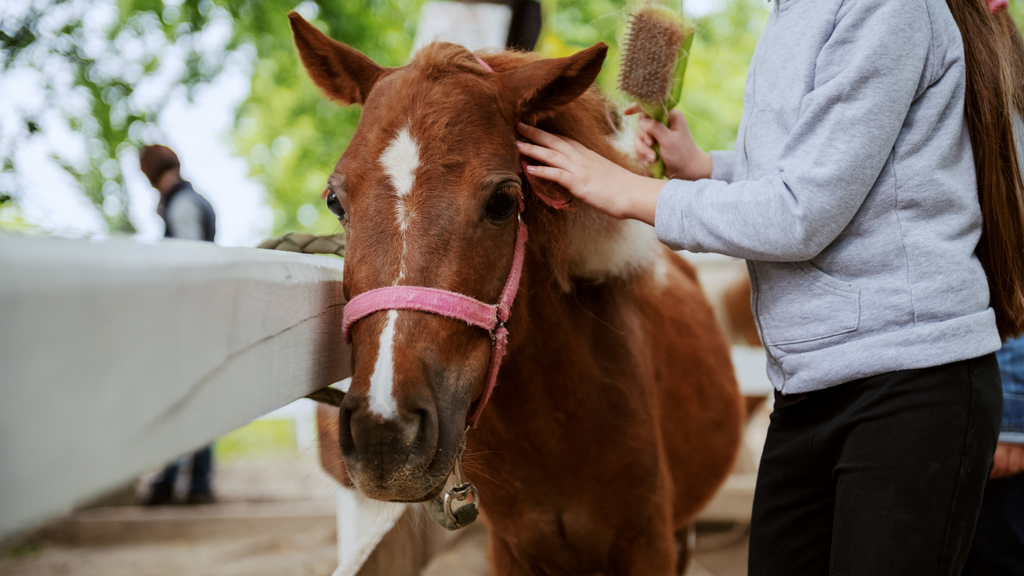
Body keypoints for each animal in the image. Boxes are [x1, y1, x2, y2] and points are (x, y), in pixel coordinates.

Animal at [288, 12, 745, 569]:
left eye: (504, 200)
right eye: (335, 201)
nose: (384, 433)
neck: (554, 432)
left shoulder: (649, 543)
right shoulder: (511, 548)